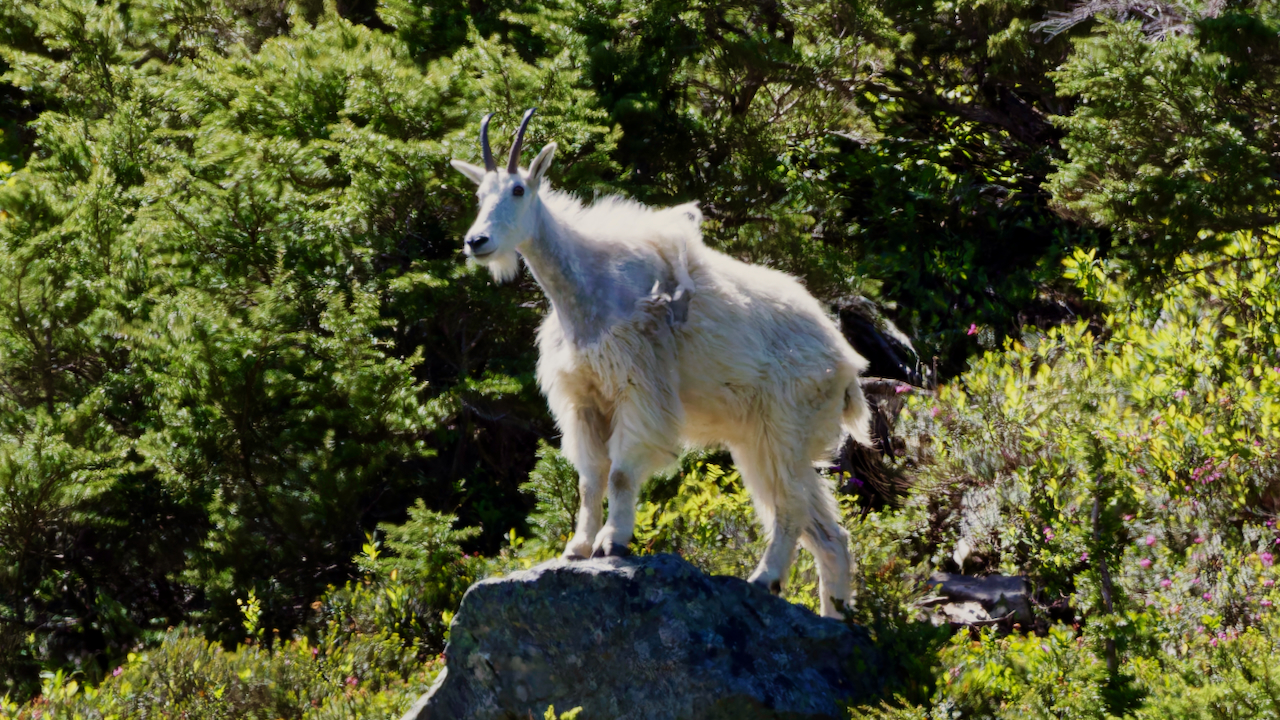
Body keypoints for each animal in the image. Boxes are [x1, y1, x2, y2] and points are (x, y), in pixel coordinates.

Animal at [451, 109, 871, 618]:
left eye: (517, 190)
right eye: (479, 194)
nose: (477, 241)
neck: (584, 289)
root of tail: (845, 362)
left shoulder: (637, 386)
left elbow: (620, 473)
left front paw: (613, 543)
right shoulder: (584, 399)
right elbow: (590, 479)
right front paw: (576, 548)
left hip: (785, 425)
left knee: (790, 506)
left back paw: (765, 578)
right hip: (758, 439)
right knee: (829, 532)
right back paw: (836, 615)